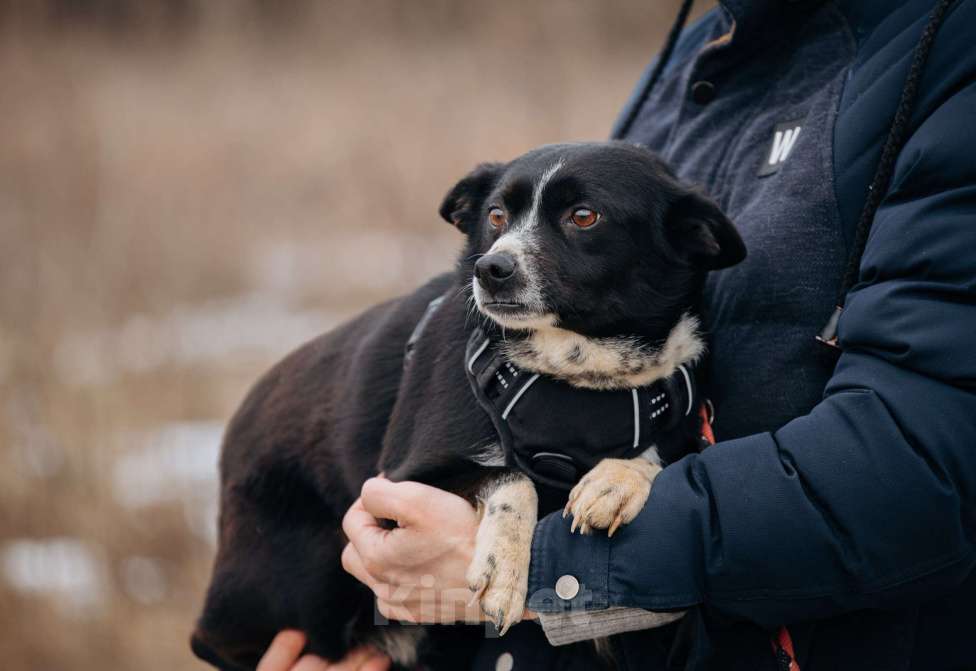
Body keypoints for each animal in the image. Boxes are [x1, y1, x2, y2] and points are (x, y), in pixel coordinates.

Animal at [193, 139, 748, 668]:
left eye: (584, 215)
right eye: (497, 215)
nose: (491, 268)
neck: (576, 379)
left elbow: (667, 458)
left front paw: (617, 479)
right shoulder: (394, 487)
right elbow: (513, 477)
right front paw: (503, 568)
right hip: (304, 577)